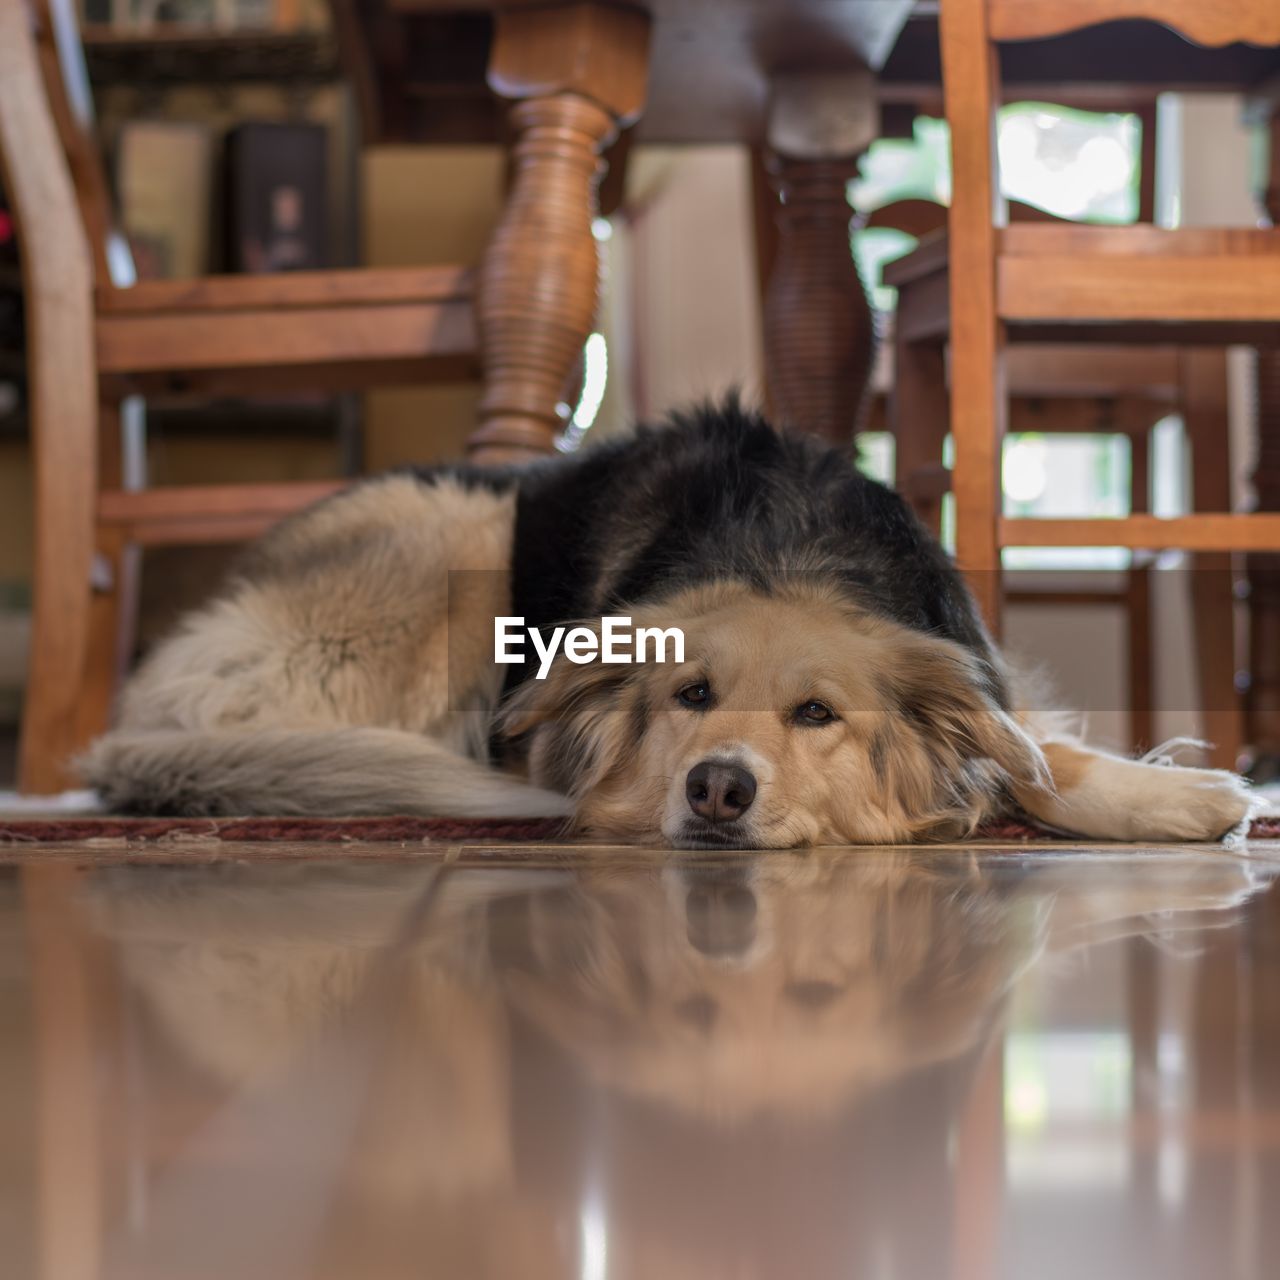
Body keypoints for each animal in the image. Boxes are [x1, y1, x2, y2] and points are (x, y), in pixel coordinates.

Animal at [82, 399, 1259, 839]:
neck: (782, 547)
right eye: (685, 695)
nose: (717, 788)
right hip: (457, 533)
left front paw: (1170, 794)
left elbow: (1033, 751)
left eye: (817, 714)